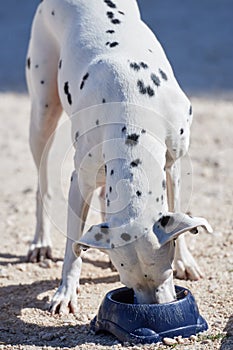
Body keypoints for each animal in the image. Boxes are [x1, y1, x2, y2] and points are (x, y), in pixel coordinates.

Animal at [26, 0, 212, 314]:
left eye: (167, 273)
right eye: (129, 282)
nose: (155, 308)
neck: (132, 109)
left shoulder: (173, 164)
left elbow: (178, 211)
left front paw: (185, 260)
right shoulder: (79, 182)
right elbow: (72, 248)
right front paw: (65, 292)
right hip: (42, 115)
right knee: (42, 185)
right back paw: (40, 241)